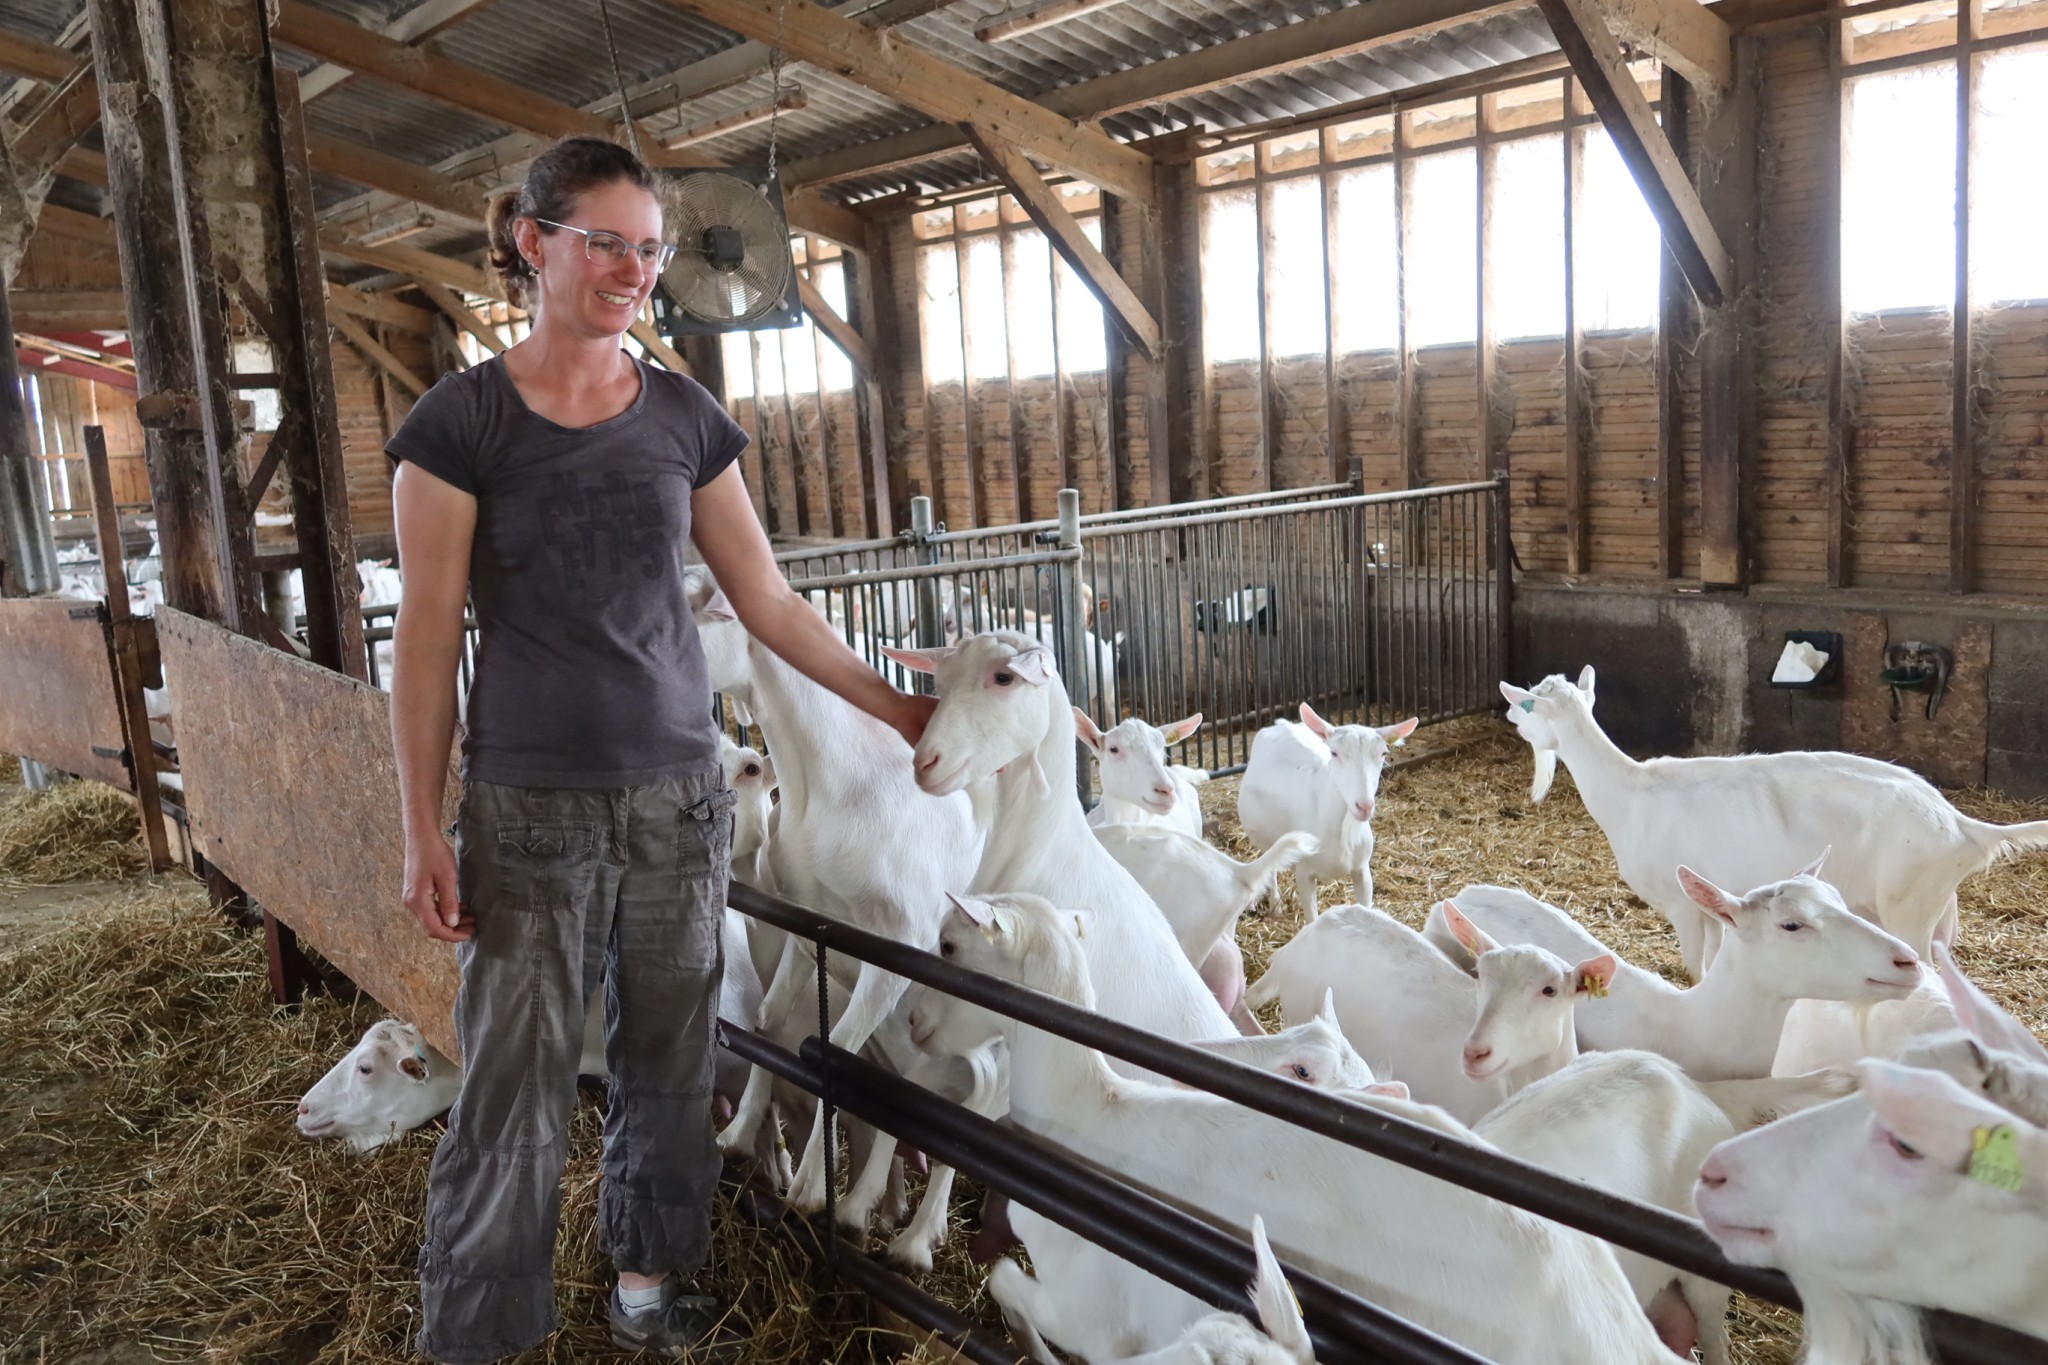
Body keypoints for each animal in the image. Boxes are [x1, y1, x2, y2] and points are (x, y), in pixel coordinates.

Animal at [1228, 703, 1425, 916]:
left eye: (1383, 754)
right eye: (1334, 753)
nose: (1364, 806)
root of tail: (1281, 724)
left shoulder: (1362, 870)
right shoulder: (1304, 873)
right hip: (1267, 837)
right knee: (1271, 866)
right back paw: (1276, 905)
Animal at [1507, 667, 2048, 978]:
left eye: (1527, 702)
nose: (1512, 719)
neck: (1631, 793)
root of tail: (1962, 826)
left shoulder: (1681, 905)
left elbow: (1695, 969)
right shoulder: (1713, 907)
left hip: (1909, 906)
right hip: (1931, 907)